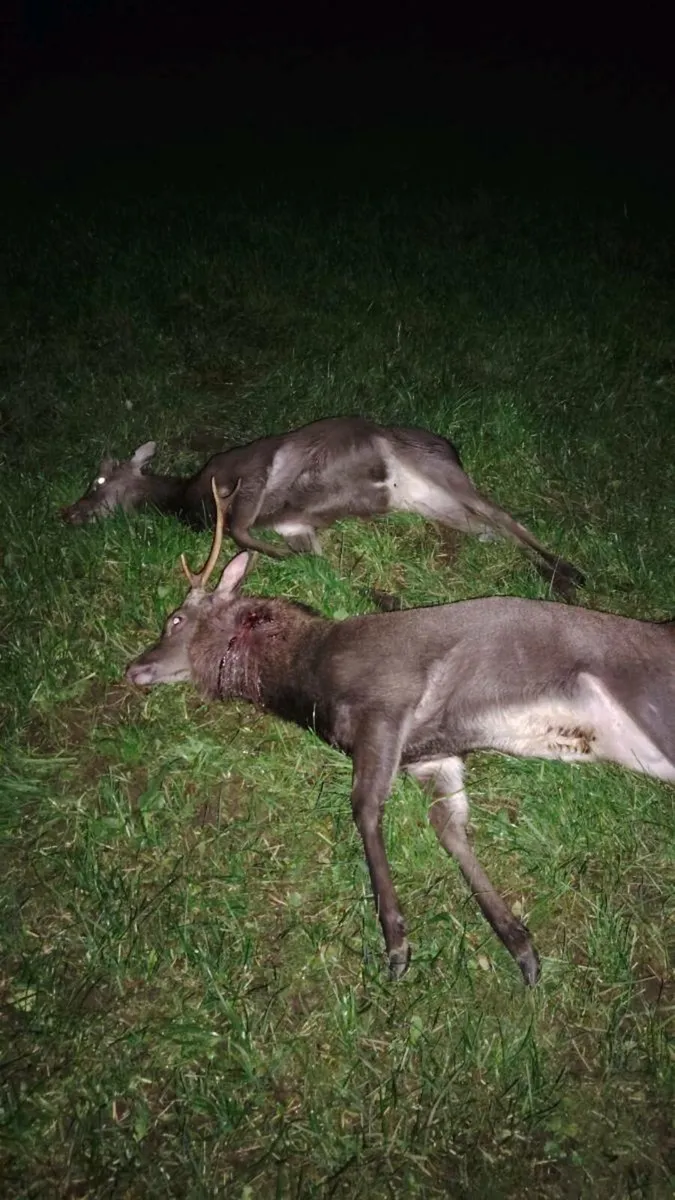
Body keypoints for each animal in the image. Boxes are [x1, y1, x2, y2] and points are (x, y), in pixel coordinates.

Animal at [61, 416, 583, 597]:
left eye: (99, 479)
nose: (67, 514)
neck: (190, 498)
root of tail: (451, 446)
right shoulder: (294, 525)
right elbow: (321, 566)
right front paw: (384, 597)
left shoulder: (246, 472)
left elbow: (241, 532)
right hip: (431, 504)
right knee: (491, 529)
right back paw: (551, 575)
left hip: (437, 470)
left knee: (504, 515)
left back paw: (570, 572)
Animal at [125, 481, 674, 986]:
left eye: (174, 619)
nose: (133, 668)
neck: (312, 678)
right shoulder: (431, 756)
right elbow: (450, 828)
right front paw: (520, 945)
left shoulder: (387, 701)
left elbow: (364, 808)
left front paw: (396, 942)